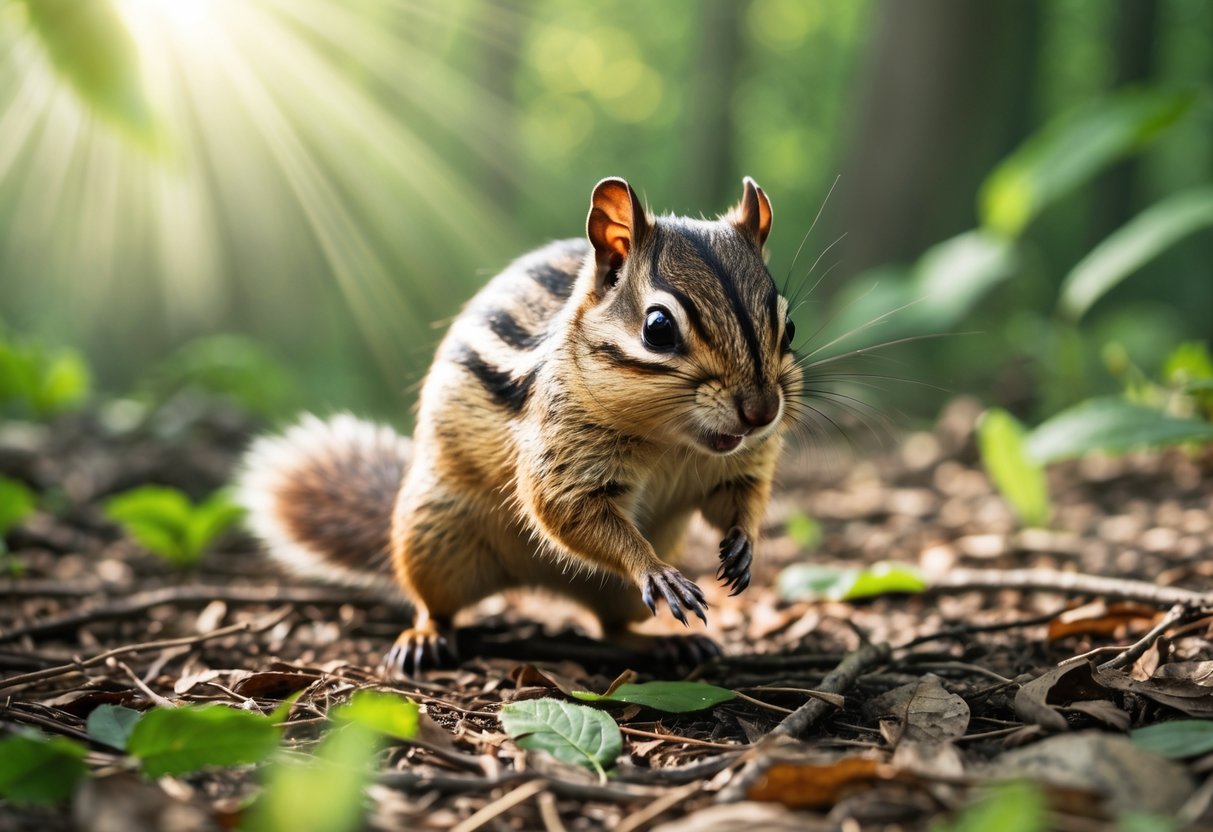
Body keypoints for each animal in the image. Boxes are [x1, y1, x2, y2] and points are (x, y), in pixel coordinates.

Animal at [236, 176, 803, 674]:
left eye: (790, 327)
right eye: (658, 328)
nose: (761, 412)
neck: (673, 444)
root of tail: (540, 582)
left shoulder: (743, 463)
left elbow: (740, 497)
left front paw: (743, 545)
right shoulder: (560, 449)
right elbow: (563, 507)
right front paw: (656, 569)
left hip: (614, 593)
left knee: (612, 627)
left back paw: (667, 645)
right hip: (433, 539)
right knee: (435, 604)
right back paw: (424, 637)